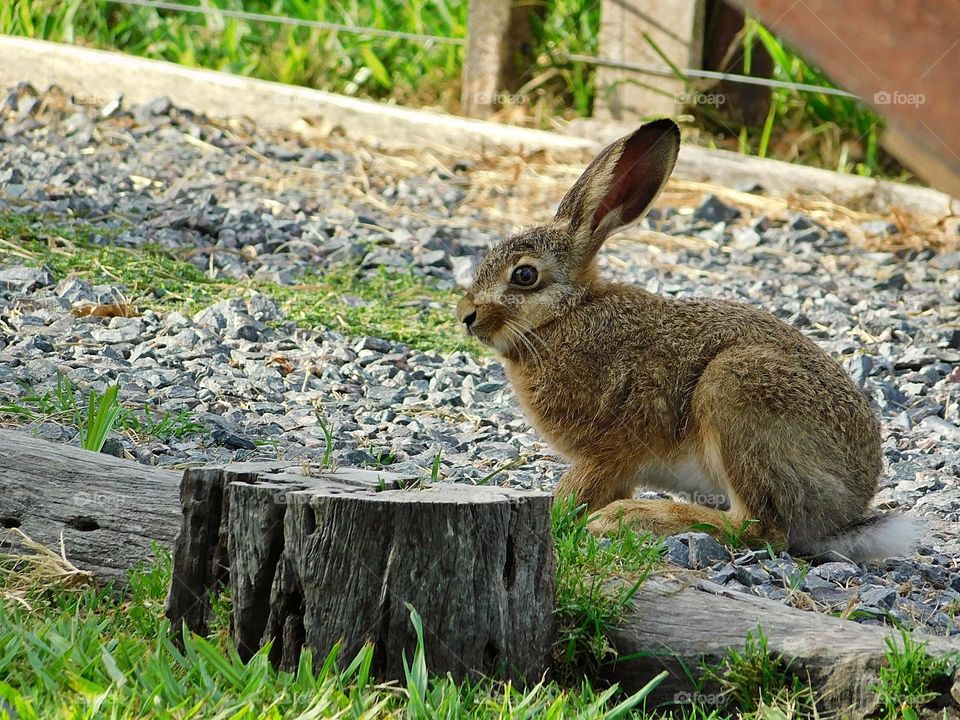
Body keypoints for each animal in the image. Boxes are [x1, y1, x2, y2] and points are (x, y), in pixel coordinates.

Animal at [456, 118, 918, 561]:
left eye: (524, 275)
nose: (466, 316)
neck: (566, 315)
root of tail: (847, 511)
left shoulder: (607, 451)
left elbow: (576, 491)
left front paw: (564, 516)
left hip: (735, 389)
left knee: (759, 528)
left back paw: (633, 518)